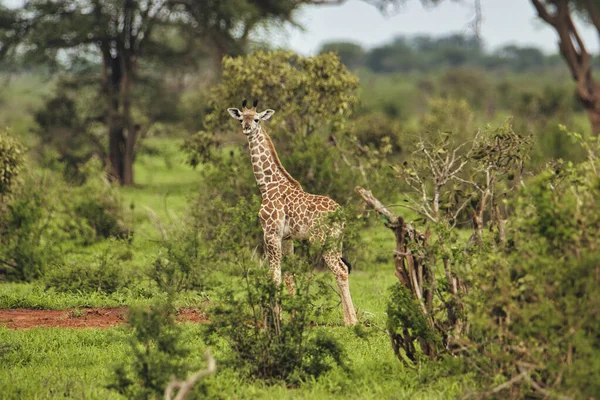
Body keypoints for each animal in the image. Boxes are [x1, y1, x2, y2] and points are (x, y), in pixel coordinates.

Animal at [225, 99, 356, 324]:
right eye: (241, 119)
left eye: (257, 119)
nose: (247, 128)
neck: (267, 185)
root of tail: (341, 214)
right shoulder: (287, 237)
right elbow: (289, 276)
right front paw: (292, 316)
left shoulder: (270, 233)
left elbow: (274, 276)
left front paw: (275, 320)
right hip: (337, 239)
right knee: (344, 267)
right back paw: (348, 319)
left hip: (322, 240)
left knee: (339, 270)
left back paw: (352, 322)